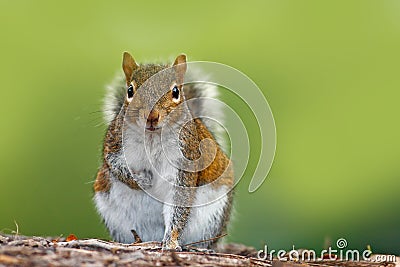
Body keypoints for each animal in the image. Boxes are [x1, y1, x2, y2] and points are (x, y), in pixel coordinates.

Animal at [93, 52, 234, 251]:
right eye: (130, 90)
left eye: (175, 92)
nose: (151, 116)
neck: (152, 137)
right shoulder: (114, 144)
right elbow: (116, 165)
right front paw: (143, 180)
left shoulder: (186, 158)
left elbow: (178, 205)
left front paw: (171, 242)